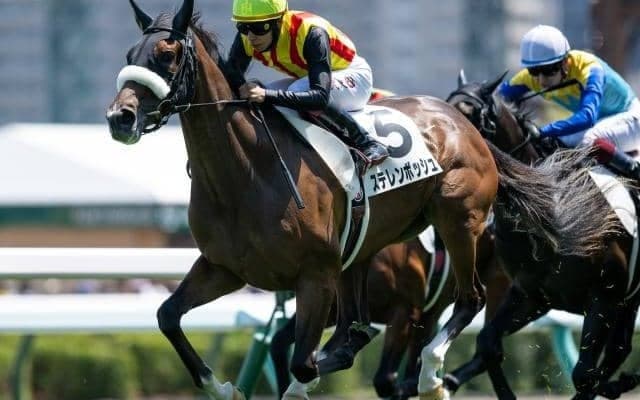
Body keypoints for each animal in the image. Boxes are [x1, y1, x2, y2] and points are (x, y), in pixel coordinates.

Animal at [270, 227, 508, 400]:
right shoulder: (333, 310)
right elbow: (280, 344)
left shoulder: (404, 311)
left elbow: (385, 379)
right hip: (431, 314)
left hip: (497, 280)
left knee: (489, 348)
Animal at [444, 71, 640, 400]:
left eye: (470, 114)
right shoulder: (533, 294)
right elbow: (487, 344)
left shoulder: (605, 296)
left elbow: (584, 374)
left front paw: (619, 383)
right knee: (619, 348)